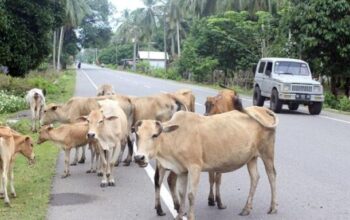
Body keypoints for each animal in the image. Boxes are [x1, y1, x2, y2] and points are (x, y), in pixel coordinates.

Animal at [133, 105, 278, 219]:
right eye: (137, 135)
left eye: (155, 135)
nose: (139, 157)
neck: (176, 136)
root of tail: (262, 109)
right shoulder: (182, 171)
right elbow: (182, 193)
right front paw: (180, 215)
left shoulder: (195, 167)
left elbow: (191, 195)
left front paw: (190, 216)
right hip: (251, 158)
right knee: (255, 178)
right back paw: (246, 209)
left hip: (267, 153)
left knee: (272, 176)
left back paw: (273, 207)